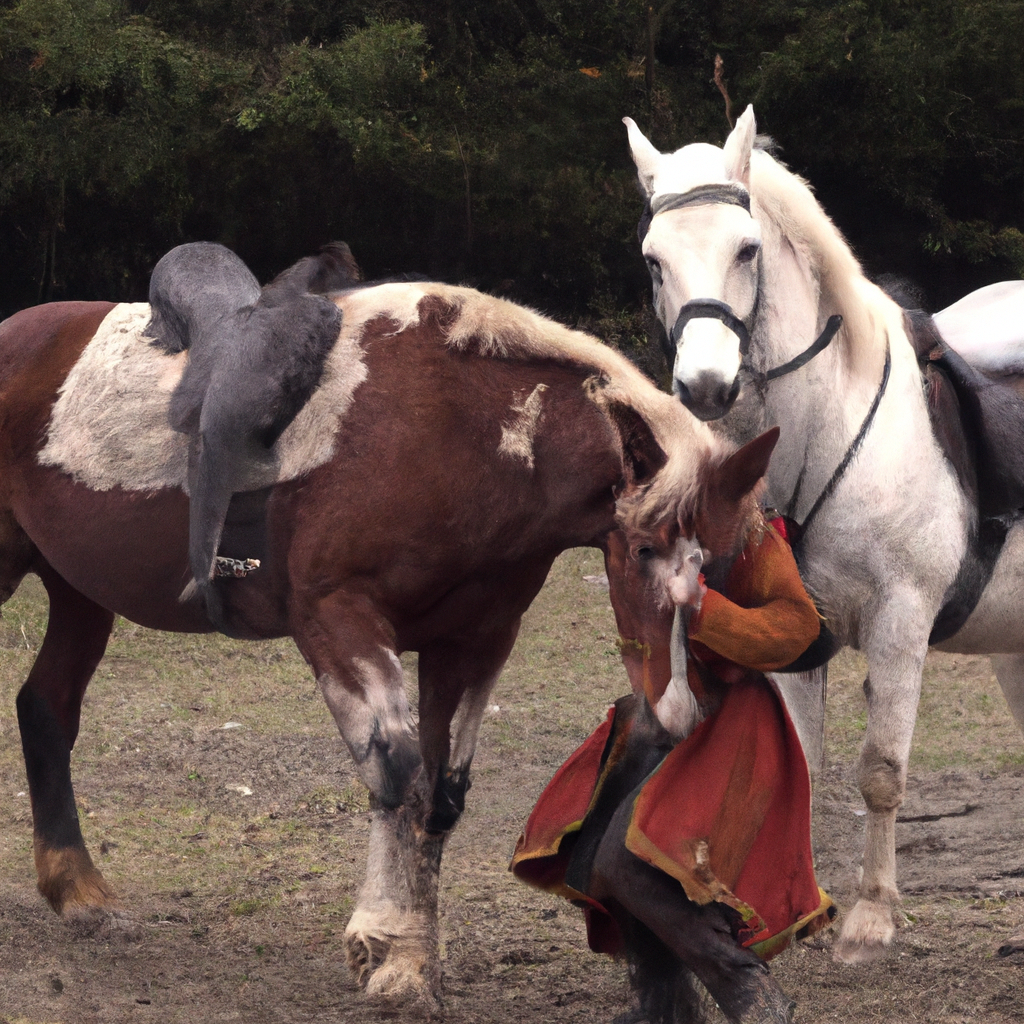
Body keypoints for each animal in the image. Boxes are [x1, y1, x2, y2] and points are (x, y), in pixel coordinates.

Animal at [0, 282, 720, 1007]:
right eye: (644, 549)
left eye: (709, 563)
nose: (678, 714)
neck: (458, 430)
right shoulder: (336, 619)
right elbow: (394, 770)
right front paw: (385, 943)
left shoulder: (473, 640)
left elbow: (440, 793)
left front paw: (412, 960)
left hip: (79, 590)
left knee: (45, 709)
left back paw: (78, 892)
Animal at [622, 108, 1024, 962]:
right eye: (653, 259)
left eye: (746, 248)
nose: (705, 386)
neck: (823, 427)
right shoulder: (791, 635)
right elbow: (800, 765)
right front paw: (804, 909)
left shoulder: (901, 624)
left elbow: (881, 769)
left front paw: (872, 917)